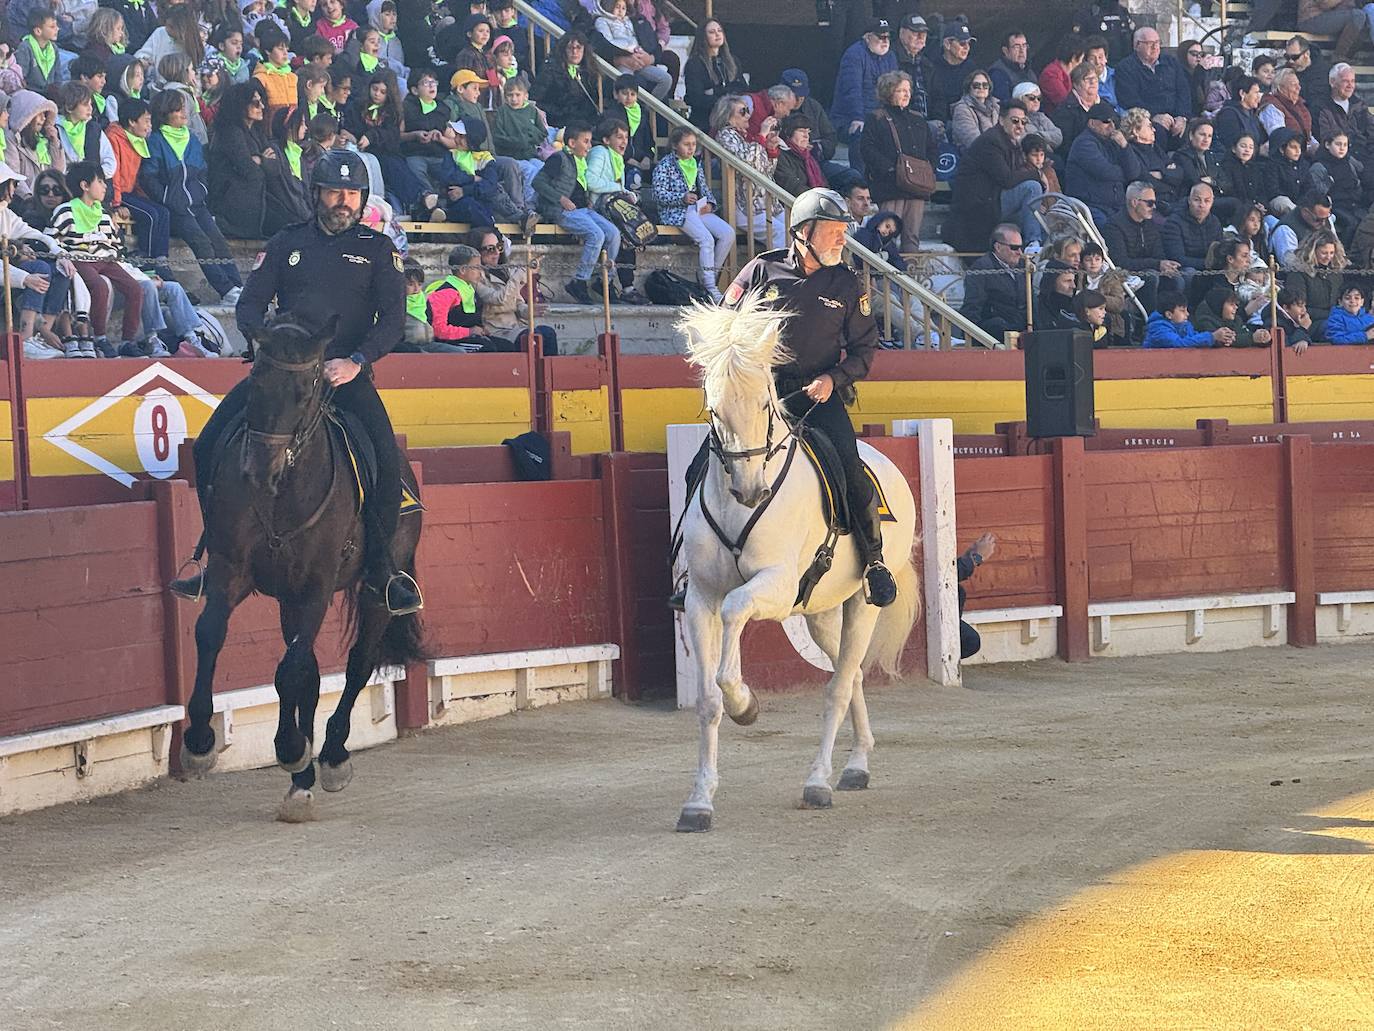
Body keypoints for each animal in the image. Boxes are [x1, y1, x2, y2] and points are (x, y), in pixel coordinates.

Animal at [179, 314, 423, 824]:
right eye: (255, 380)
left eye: (304, 390)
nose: (259, 470)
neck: (283, 493)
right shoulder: (232, 572)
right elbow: (212, 635)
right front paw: (199, 742)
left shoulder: (315, 587)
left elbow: (292, 670)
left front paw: (292, 748)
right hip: (288, 598)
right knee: (307, 672)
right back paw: (302, 779)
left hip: (372, 594)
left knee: (356, 664)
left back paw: (328, 757)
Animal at [678, 294, 923, 835]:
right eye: (714, 407)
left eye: (765, 404)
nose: (751, 490)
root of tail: (884, 461)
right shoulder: (699, 598)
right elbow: (706, 700)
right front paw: (699, 802)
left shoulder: (774, 585)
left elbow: (736, 614)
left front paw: (745, 704)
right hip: (821, 613)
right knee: (850, 675)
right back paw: (856, 765)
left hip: (863, 605)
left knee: (838, 685)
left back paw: (818, 782)